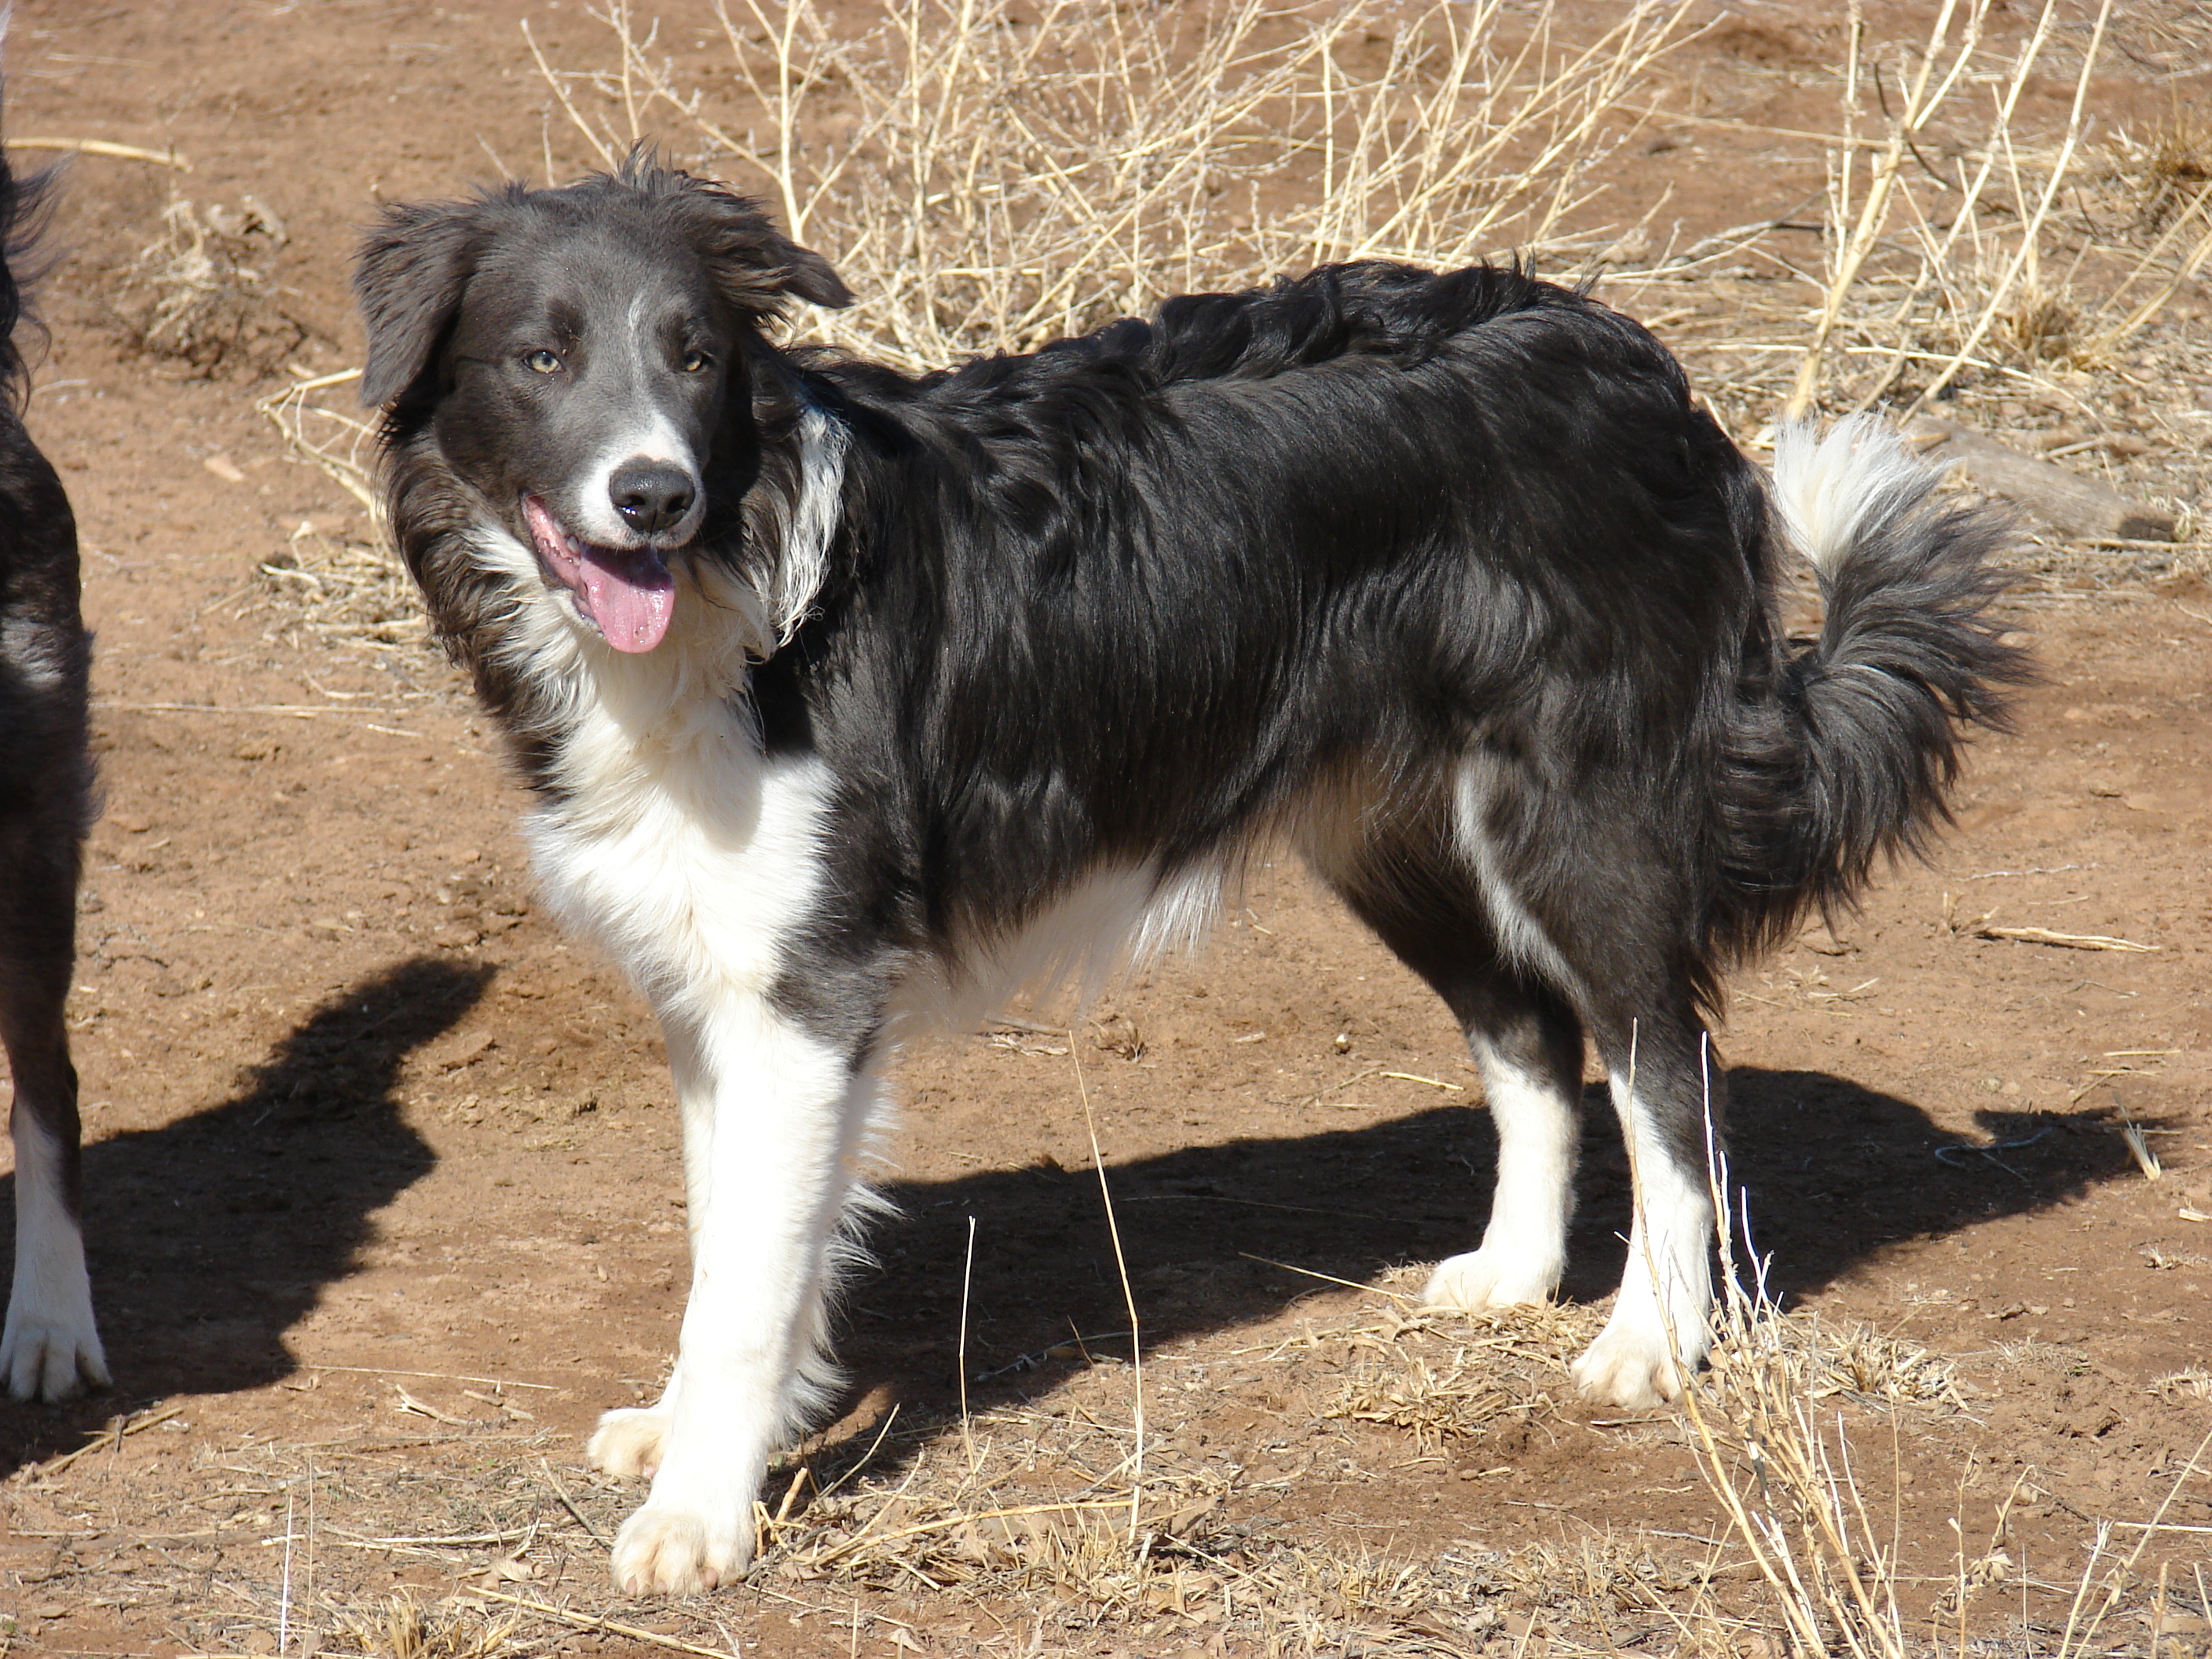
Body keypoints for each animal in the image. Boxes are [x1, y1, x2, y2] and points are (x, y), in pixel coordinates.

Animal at [358, 159, 2026, 1601]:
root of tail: (1642, 368)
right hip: (1390, 836)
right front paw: (710, 1435)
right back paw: (1513, 1268)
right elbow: (734, 1250)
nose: (652, 495)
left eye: (696, 356)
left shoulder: (804, 997)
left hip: (1581, 826)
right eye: (543, 358)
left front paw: (701, 1512)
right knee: (1533, 1038)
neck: (737, 579)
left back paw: (1652, 1338)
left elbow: (749, 1284)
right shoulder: (717, 993)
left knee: (1662, 1061)